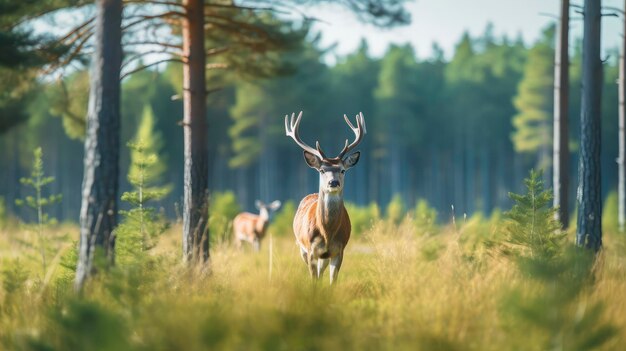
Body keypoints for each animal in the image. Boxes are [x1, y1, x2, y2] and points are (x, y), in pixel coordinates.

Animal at [284, 111, 366, 284]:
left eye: (342, 170)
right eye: (322, 170)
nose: (333, 182)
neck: (327, 233)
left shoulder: (339, 251)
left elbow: (332, 282)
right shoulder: (311, 250)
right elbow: (314, 281)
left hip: (325, 257)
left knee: (322, 272)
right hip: (301, 248)